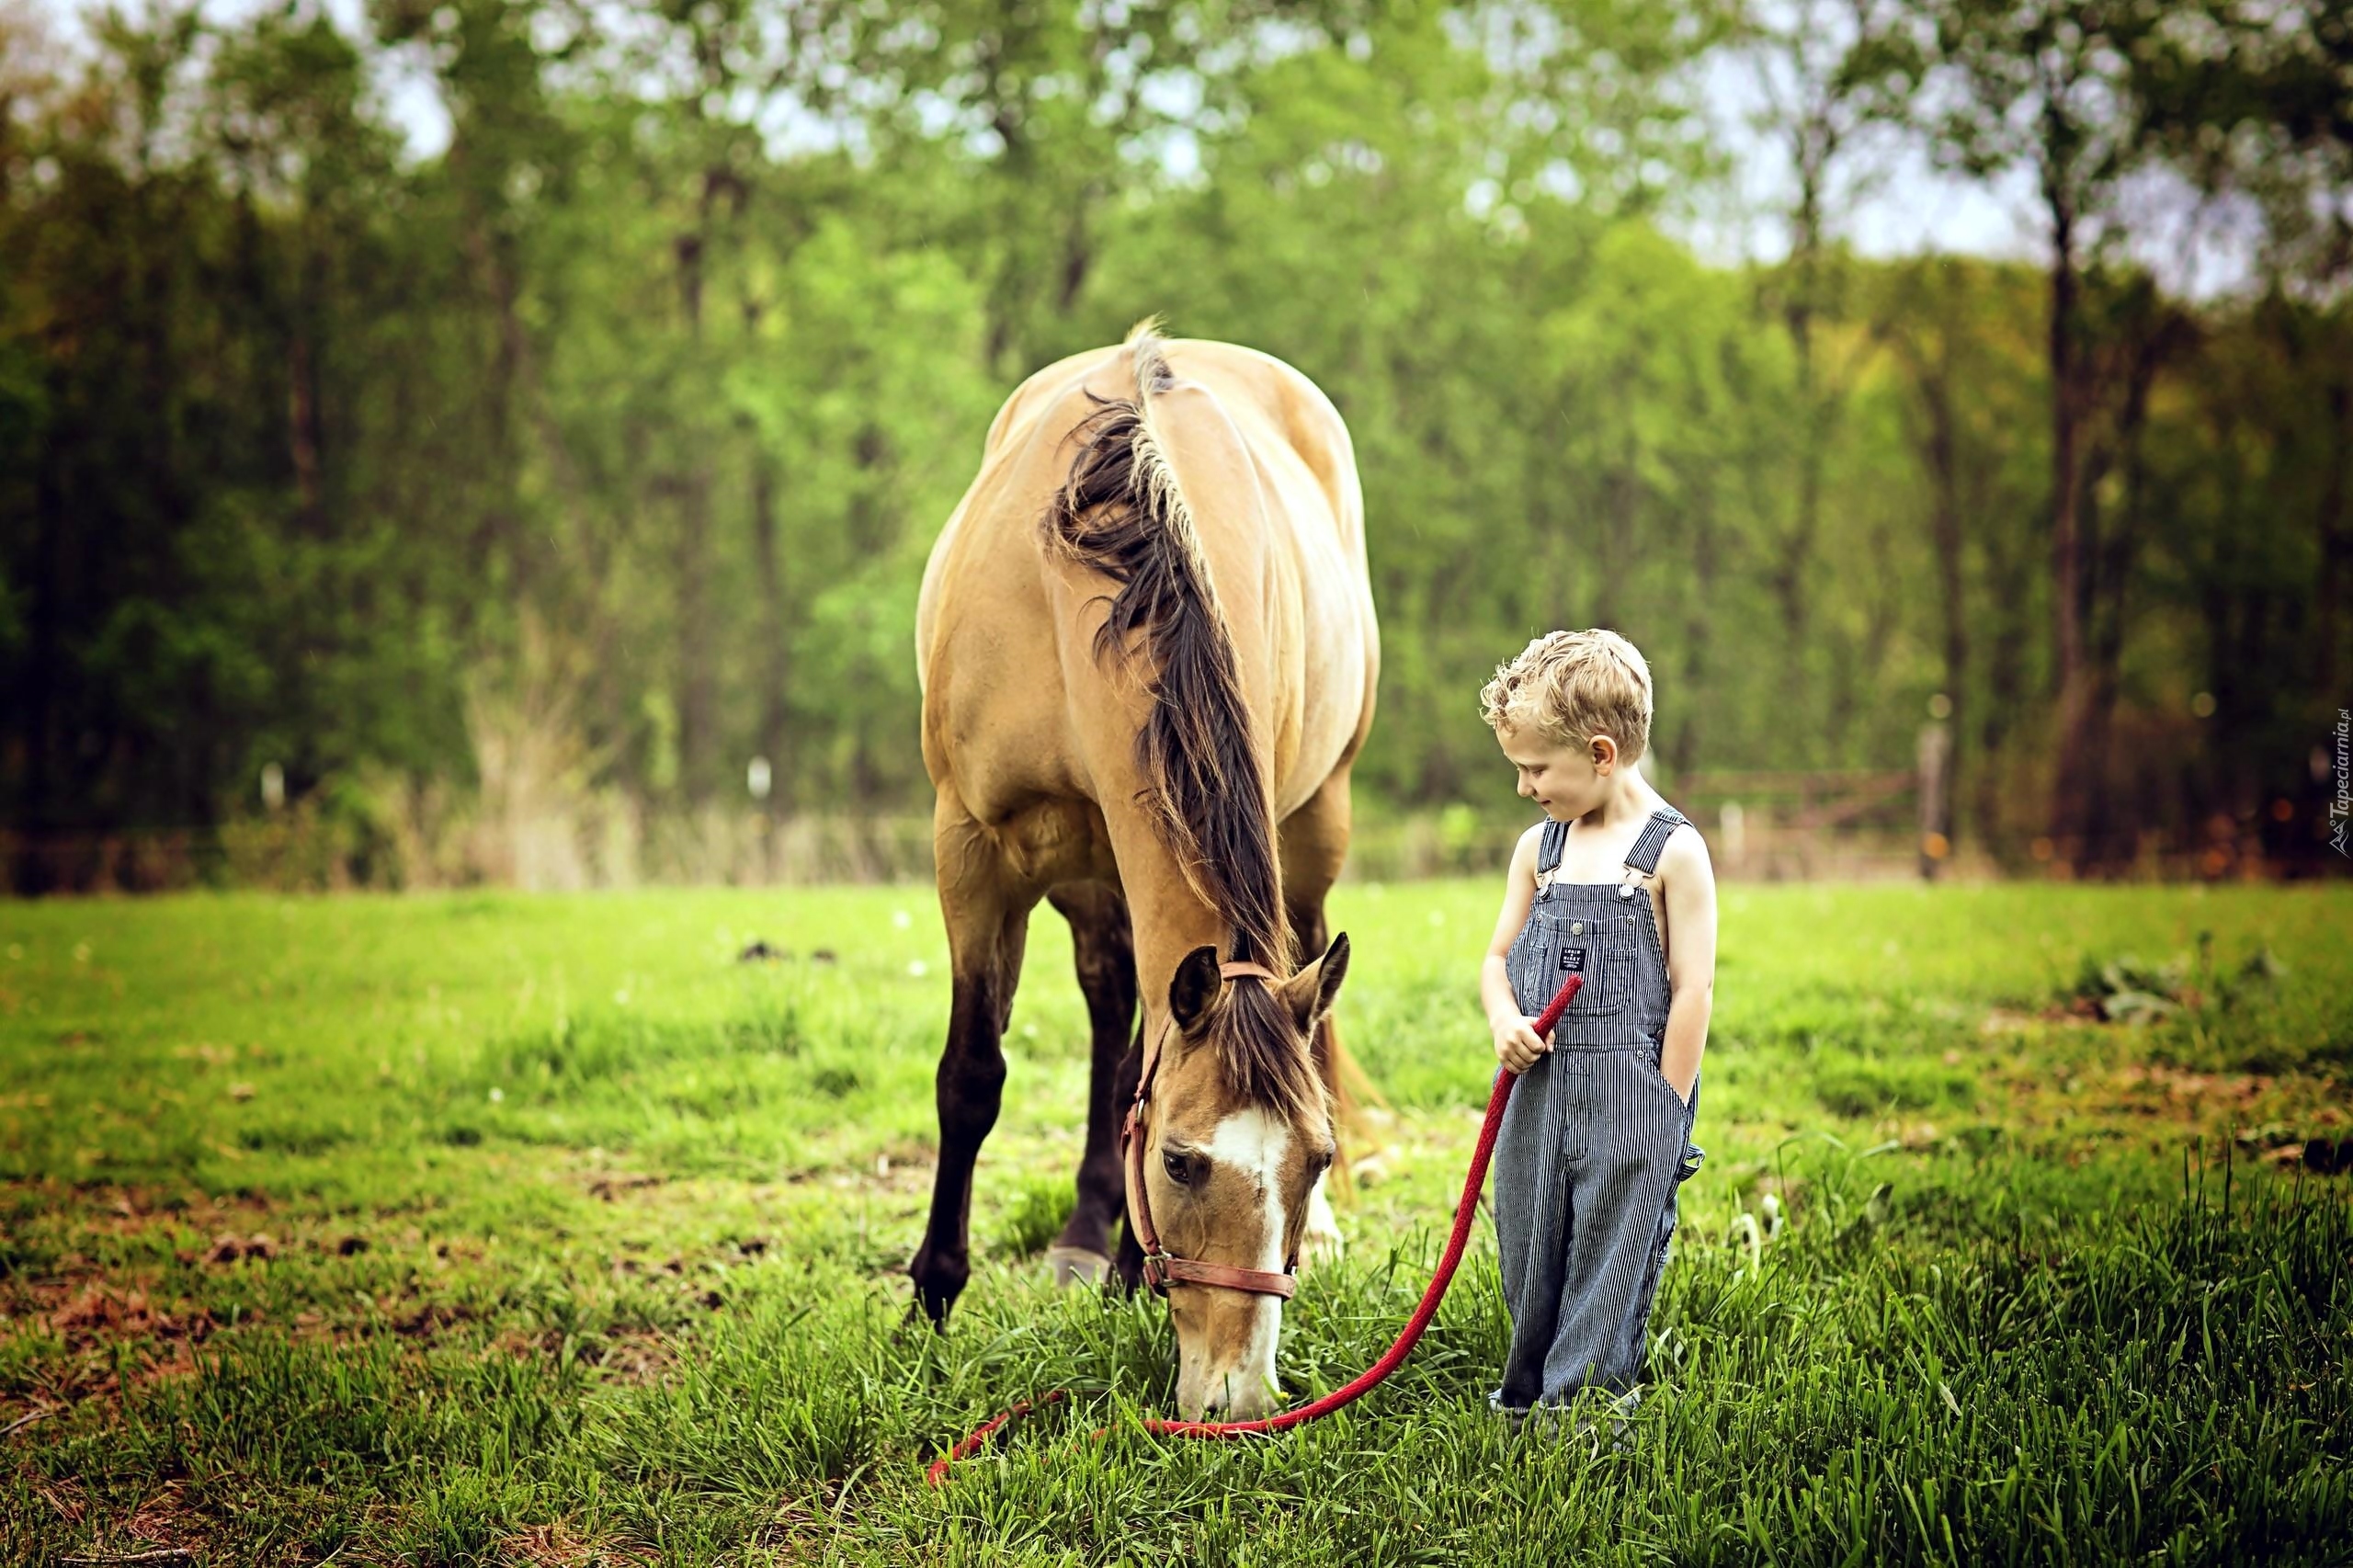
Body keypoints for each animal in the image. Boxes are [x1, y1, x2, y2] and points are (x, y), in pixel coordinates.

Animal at [904, 320, 1374, 1412]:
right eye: (1181, 1161)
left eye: (1318, 1156)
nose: (1238, 1399)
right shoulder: (970, 850)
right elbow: (971, 1076)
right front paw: (930, 1301)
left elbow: (1132, 1065)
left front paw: (1128, 1274)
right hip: (1081, 872)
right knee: (1105, 994)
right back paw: (1080, 1235)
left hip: (1306, 831)